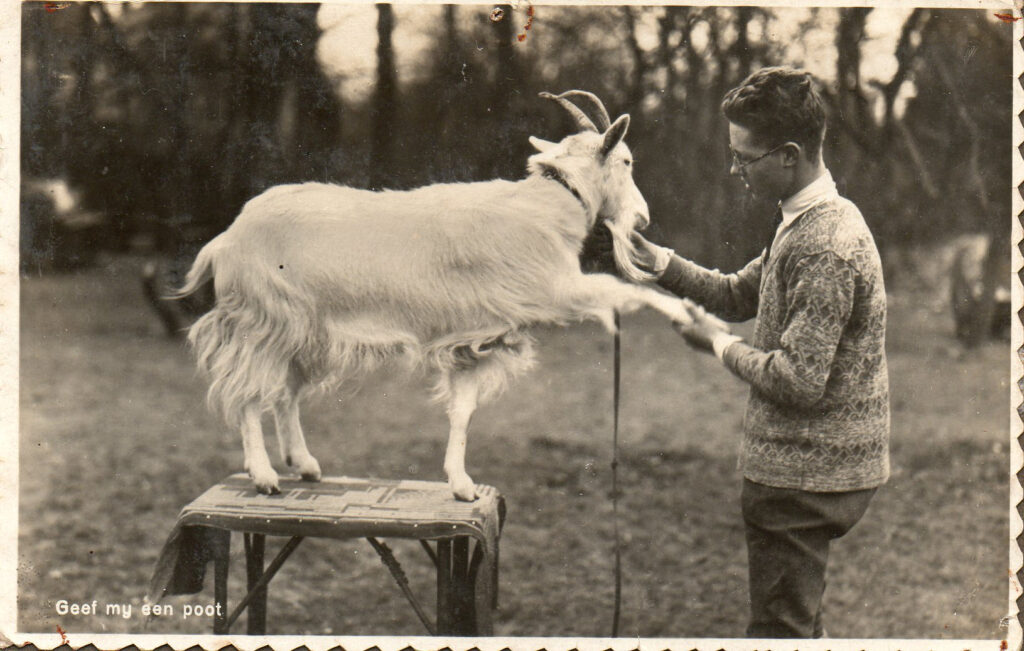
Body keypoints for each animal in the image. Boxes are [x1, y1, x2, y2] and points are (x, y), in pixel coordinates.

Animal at [180, 90, 696, 497]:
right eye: (626, 161)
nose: (643, 219)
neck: (548, 205)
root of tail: (228, 237)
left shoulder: (475, 335)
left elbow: (463, 411)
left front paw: (461, 484)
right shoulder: (553, 288)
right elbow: (619, 290)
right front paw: (687, 314)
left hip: (306, 331)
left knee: (284, 393)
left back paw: (303, 464)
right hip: (263, 321)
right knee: (249, 393)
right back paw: (263, 474)